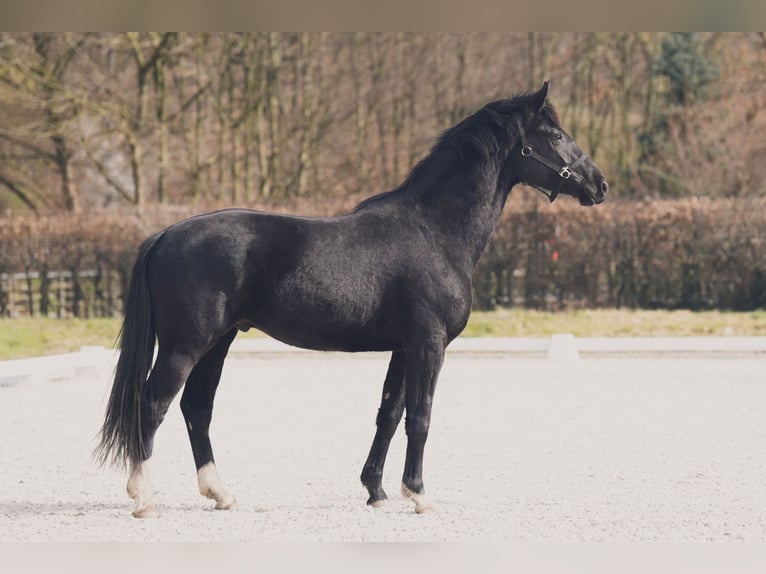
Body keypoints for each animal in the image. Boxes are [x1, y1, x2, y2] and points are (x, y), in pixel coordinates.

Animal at [95, 81, 607, 517]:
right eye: (555, 134)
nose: (599, 184)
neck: (435, 230)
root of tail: (166, 234)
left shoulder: (404, 348)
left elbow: (389, 414)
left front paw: (377, 491)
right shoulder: (428, 345)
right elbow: (420, 417)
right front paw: (419, 495)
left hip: (217, 343)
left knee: (196, 409)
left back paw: (221, 494)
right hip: (185, 346)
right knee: (152, 406)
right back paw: (144, 499)